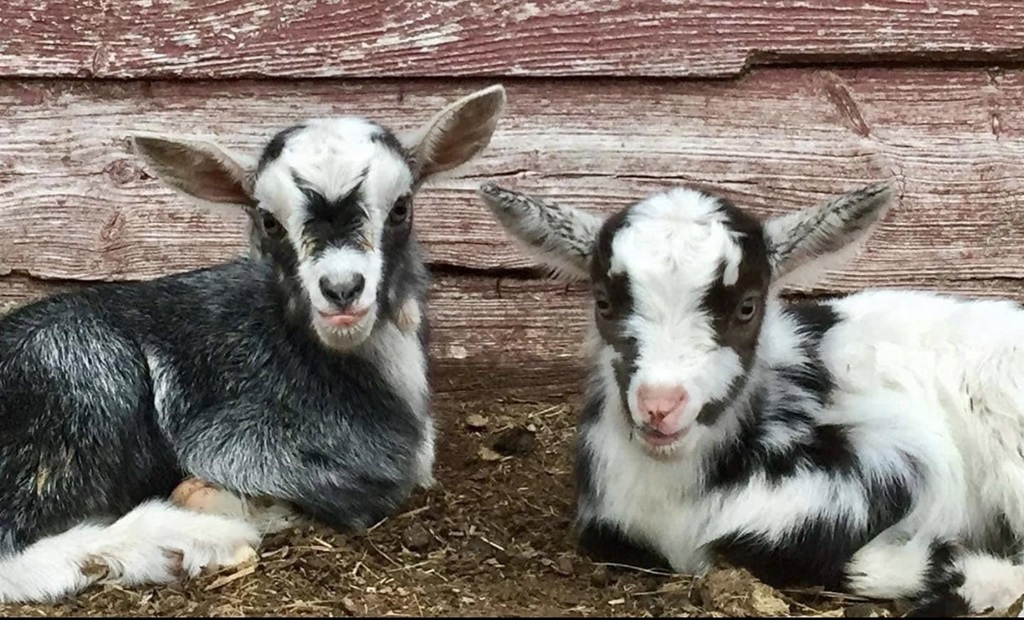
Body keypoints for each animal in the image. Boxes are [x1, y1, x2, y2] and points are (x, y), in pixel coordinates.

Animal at [0, 84, 506, 603]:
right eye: (269, 221)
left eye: (402, 206)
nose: (342, 289)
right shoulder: (230, 442)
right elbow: (359, 493)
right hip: (80, 377)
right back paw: (188, 542)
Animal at [478, 180, 1024, 616]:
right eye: (604, 303)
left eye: (747, 307)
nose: (660, 405)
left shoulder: (895, 459)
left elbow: (766, 546)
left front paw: (977, 578)